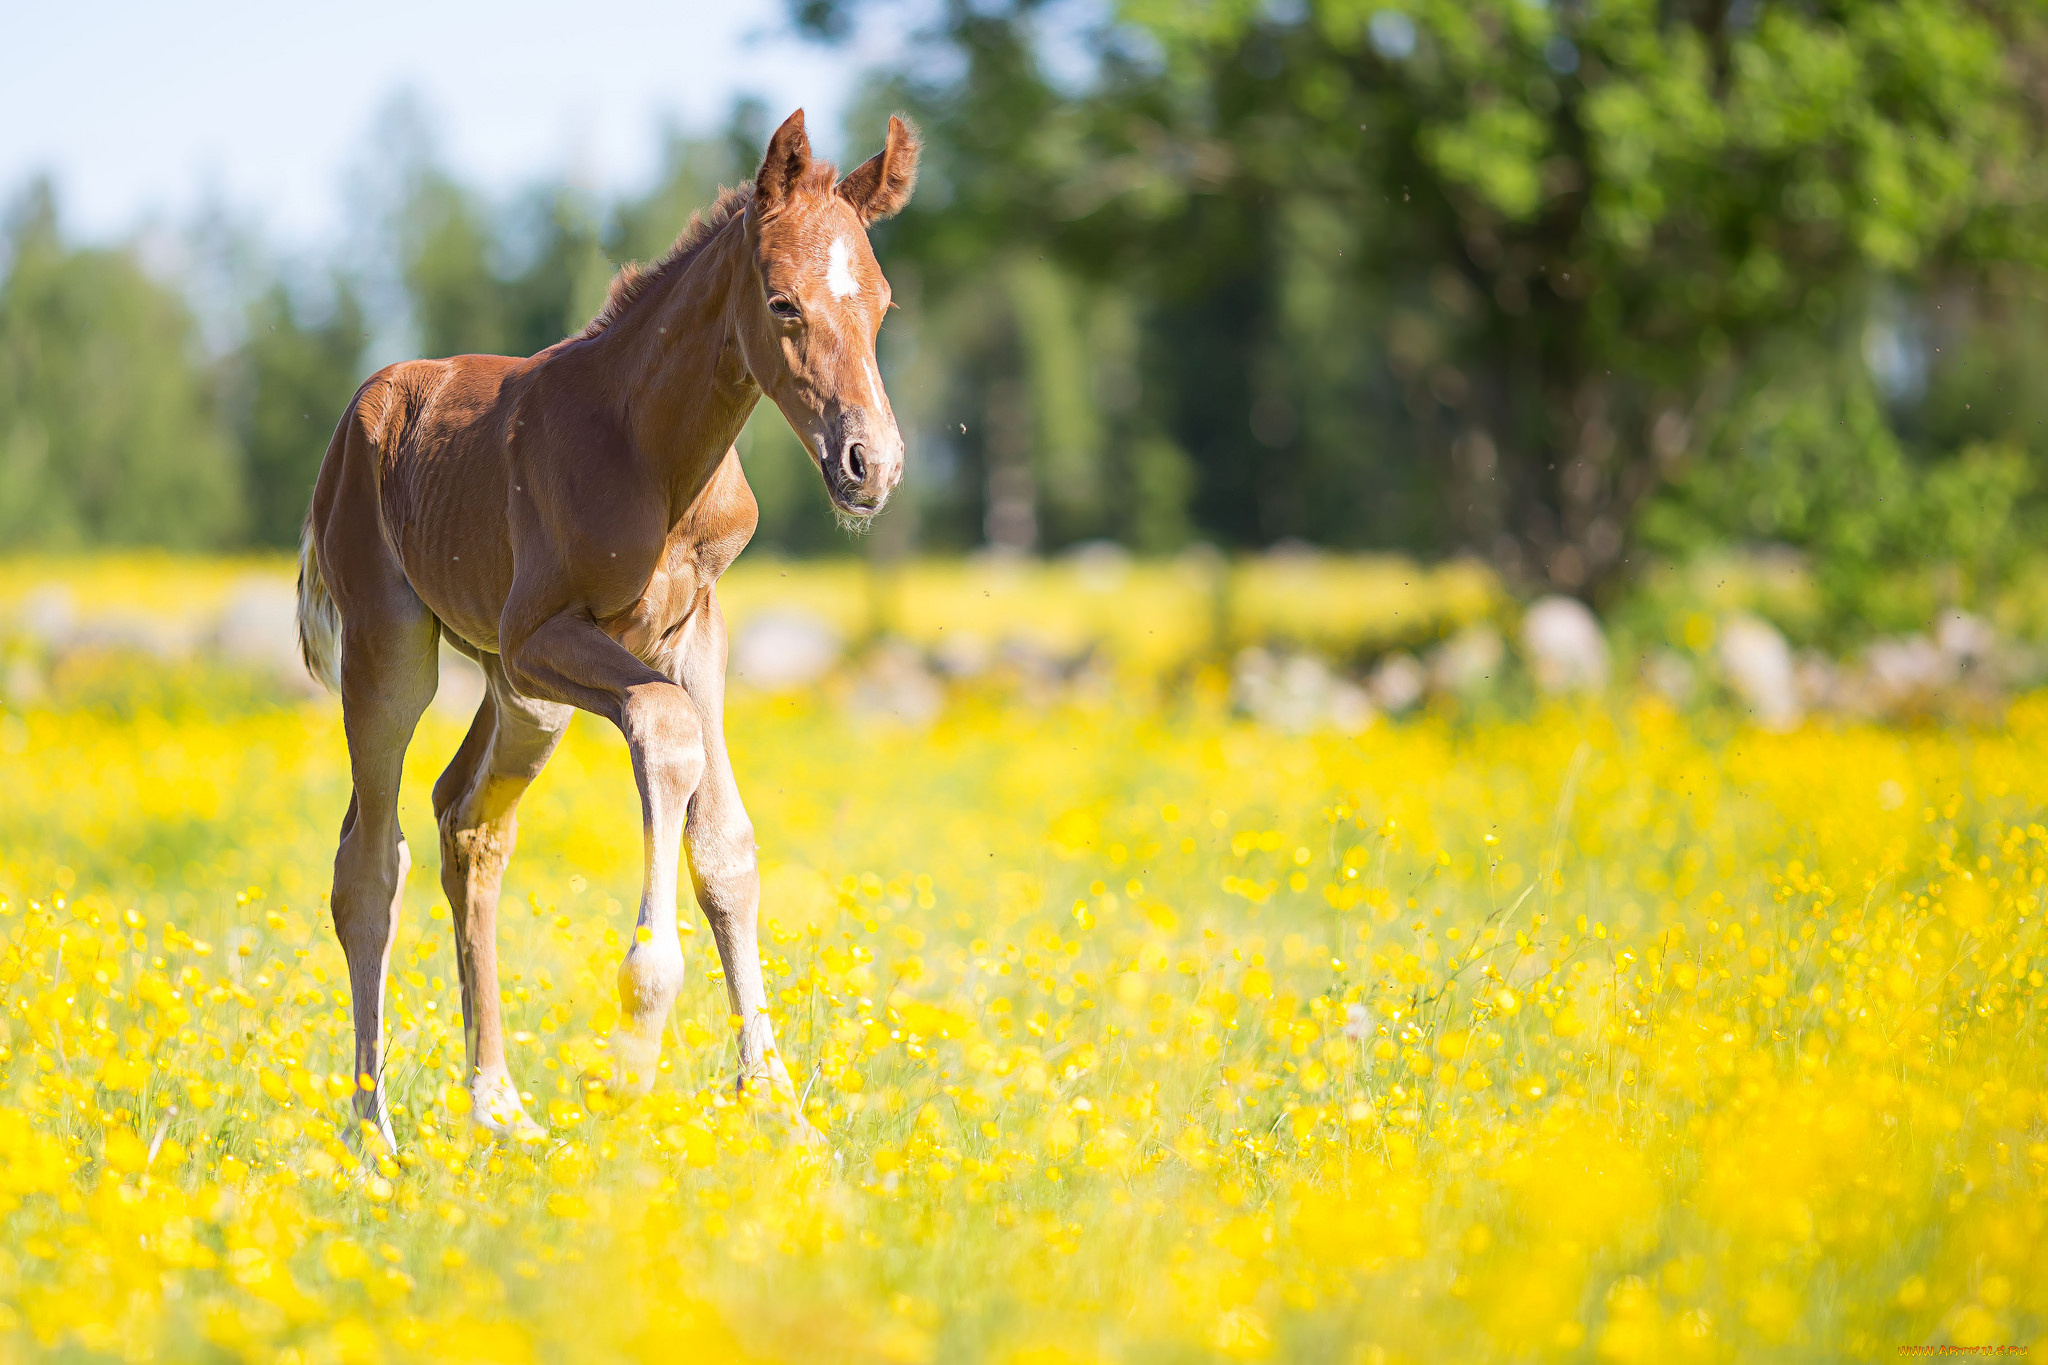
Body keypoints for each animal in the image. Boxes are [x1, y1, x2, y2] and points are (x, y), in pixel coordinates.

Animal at [299, 112, 921, 1146]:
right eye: (783, 303)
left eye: (881, 306)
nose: (869, 464)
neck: (652, 448)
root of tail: (358, 415)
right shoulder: (540, 634)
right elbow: (667, 735)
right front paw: (633, 1054)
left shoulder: (694, 629)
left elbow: (725, 845)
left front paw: (777, 1104)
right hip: (398, 648)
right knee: (368, 861)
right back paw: (371, 1133)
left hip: (523, 699)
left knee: (467, 821)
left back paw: (498, 1104)